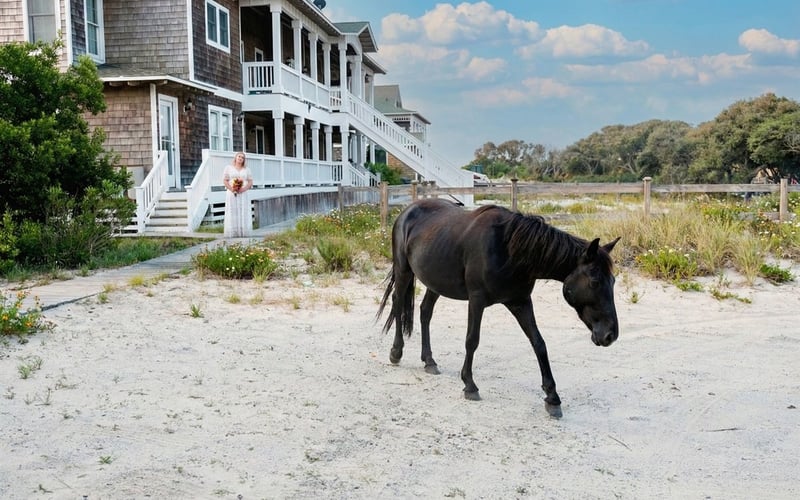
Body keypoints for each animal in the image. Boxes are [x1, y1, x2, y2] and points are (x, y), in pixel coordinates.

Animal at [376, 198, 620, 418]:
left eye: (614, 281)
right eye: (595, 281)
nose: (610, 335)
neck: (509, 250)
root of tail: (408, 210)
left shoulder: (520, 302)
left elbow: (539, 344)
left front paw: (552, 398)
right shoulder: (476, 300)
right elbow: (472, 340)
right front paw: (469, 385)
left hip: (434, 281)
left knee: (425, 312)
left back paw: (429, 361)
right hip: (404, 271)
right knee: (398, 304)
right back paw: (396, 352)